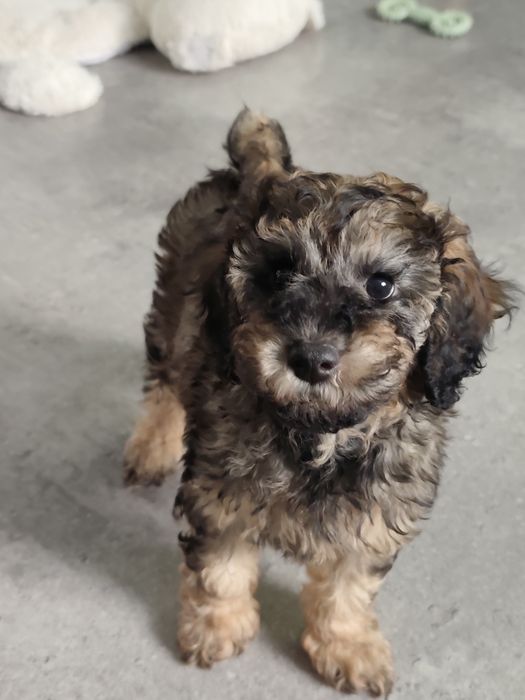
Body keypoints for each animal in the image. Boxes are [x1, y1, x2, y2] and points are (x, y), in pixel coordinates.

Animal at [123, 109, 515, 696]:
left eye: (381, 285)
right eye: (278, 273)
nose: (310, 358)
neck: (324, 433)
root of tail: (257, 168)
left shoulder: (377, 514)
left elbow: (348, 588)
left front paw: (348, 646)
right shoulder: (221, 490)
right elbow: (221, 567)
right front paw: (217, 626)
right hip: (175, 309)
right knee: (166, 380)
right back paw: (152, 446)